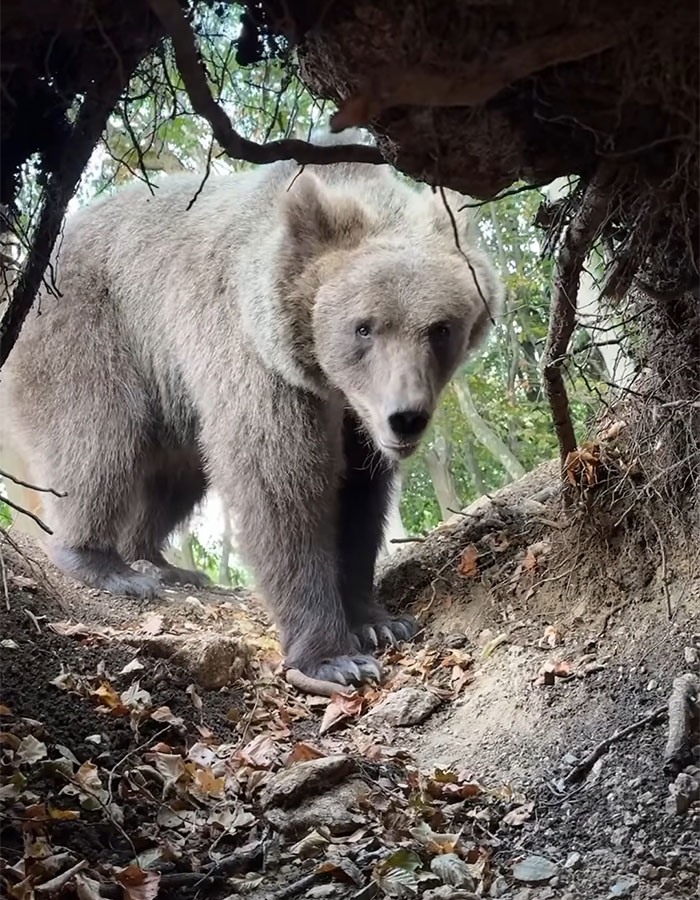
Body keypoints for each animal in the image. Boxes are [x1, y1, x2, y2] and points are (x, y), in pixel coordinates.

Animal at [0, 135, 502, 685]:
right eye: (364, 327)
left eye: (440, 328)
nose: (405, 417)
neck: (322, 377)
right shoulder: (254, 359)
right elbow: (279, 487)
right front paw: (334, 657)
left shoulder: (356, 418)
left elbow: (361, 498)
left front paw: (377, 621)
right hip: (94, 329)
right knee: (99, 441)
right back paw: (106, 566)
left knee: (175, 479)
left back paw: (164, 563)